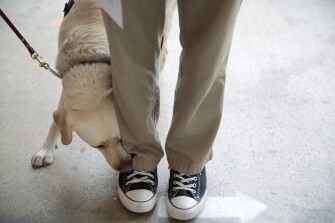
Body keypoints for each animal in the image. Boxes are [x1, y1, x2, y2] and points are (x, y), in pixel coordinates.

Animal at [31, 0, 178, 172]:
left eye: (123, 139)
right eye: (99, 146)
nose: (125, 168)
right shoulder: (66, 80)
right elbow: (57, 117)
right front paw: (46, 149)